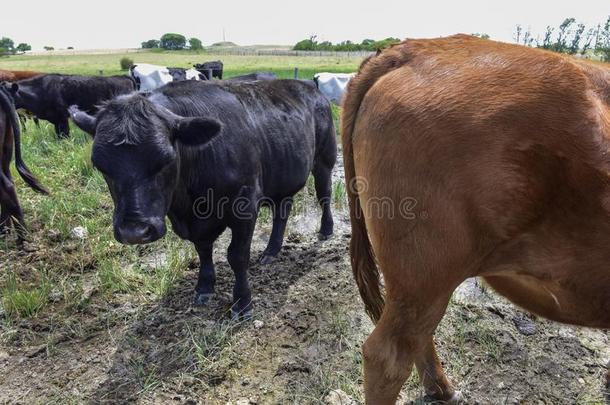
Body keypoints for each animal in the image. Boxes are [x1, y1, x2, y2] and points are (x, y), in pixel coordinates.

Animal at [71, 79, 338, 318]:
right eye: (100, 165)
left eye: (166, 159)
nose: (134, 232)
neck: (188, 207)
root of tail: (311, 88)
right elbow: (202, 250)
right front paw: (205, 286)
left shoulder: (245, 205)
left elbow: (237, 256)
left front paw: (242, 303)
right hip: (281, 176)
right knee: (282, 211)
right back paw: (271, 251)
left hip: (325, 160)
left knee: (324, 195)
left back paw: (326, 230)